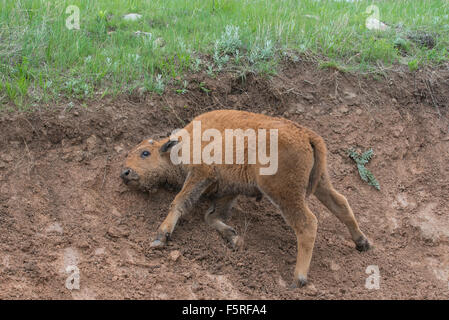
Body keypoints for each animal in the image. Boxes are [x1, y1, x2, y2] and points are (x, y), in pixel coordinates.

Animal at [121, 110, 370, 288]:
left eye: (145, 153)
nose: (125, 172)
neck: (181, 145)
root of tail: (307, 135)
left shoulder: (201, 174)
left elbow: (181, 201)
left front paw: (160, 236)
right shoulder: (228, 189)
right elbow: (211, 216)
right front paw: (233, 237)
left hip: (284, 192)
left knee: (307, 223)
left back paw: (298, 279)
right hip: (321, 183)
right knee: (341, 204)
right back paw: (362, 243)